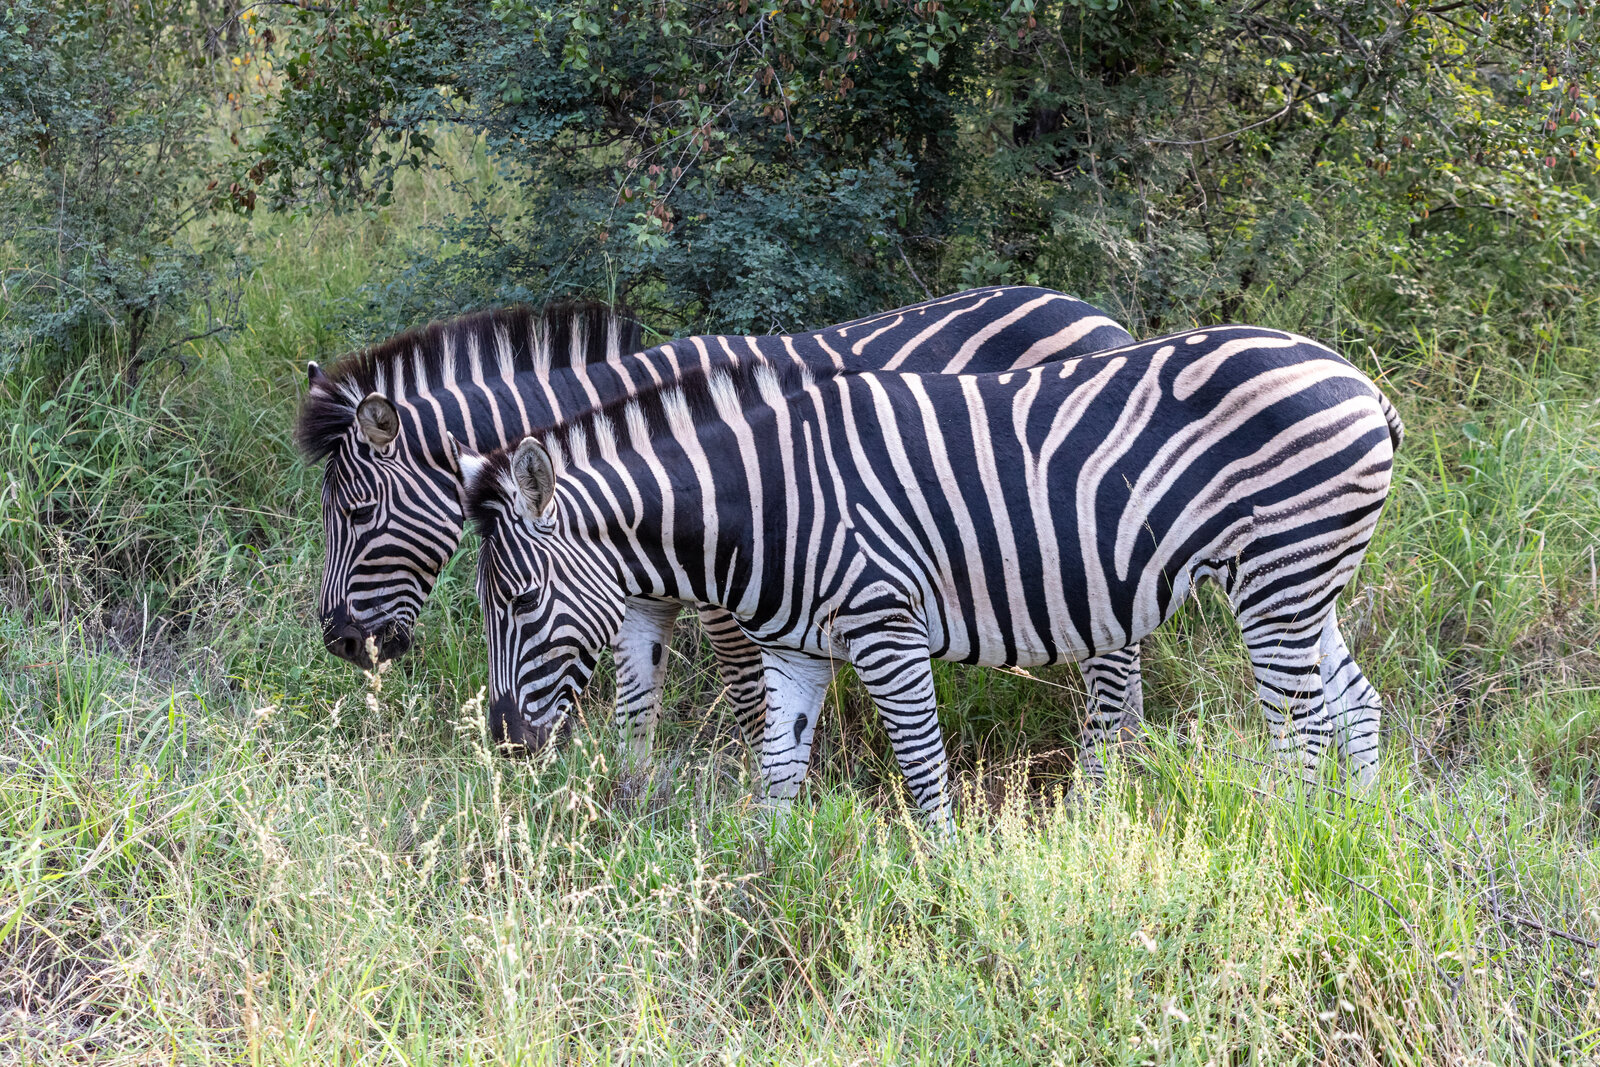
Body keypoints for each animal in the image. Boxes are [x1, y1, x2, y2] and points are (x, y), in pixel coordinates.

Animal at [294, 286, 1148, 759]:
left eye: (358, 513)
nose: (341, 643)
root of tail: (1101, 318)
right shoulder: (639, 593)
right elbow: (638, 702)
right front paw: (632, 806)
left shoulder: (733, 594)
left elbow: (748, 697)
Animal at [457, 325, 1403, 829]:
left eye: (522, 601)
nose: (504, 744)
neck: (766, 500)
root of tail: (1360, 382)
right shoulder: (797, 650)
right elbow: (776, 777)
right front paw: (759, 881)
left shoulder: (887, 626)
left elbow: (922, 767)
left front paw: (944, 878)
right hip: (1301, 583)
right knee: (1355, 703)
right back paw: (1351, 833)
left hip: (1277, 581)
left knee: (1301, 729)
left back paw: (1288, 837)